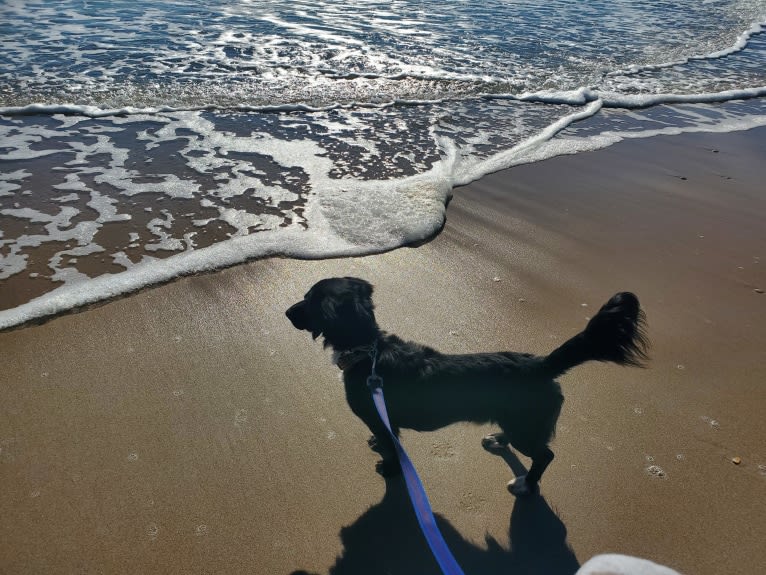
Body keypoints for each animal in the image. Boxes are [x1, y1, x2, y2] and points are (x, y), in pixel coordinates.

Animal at [286, 276, 648, 496]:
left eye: (308, 300)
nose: (287, 311)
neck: (367, 349)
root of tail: (540, 365)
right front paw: (377, 446)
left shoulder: (381, 416)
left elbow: (390, 447)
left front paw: (388, 468)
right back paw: (498, 440)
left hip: (525, 427)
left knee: (545, 455)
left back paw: (526, 486)